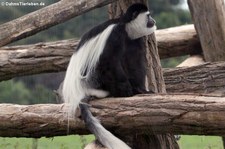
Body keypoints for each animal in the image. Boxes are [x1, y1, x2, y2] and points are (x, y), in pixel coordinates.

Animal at [62, 2, 156, 149]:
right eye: (148, 16)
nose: (153, 21)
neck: (125, 27)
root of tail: (77, 92)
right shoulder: (115, 35)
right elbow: (109, 60)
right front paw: (126, 91)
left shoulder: (135, 40)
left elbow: (135, 62)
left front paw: (141, 90)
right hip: (89, 80)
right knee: (100, 65)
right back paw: (106, 92)